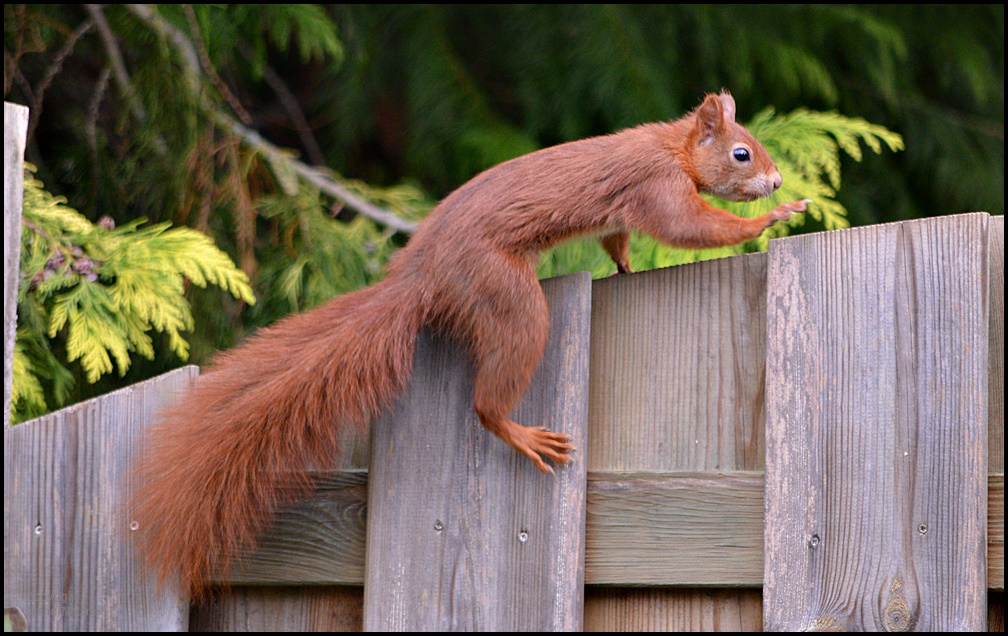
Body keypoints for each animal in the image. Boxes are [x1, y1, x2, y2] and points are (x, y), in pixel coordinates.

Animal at [134, 92, 810, 596]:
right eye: (742, 152)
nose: (777, 179)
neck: (670, 146)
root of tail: (421, 275)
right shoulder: (656, 187)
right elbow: (690, 228)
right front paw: (771, 219)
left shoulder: (625, 213)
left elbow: (618, 241)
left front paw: (624, 270)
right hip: (507, 300)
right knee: (487, 401)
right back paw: (521, 432)